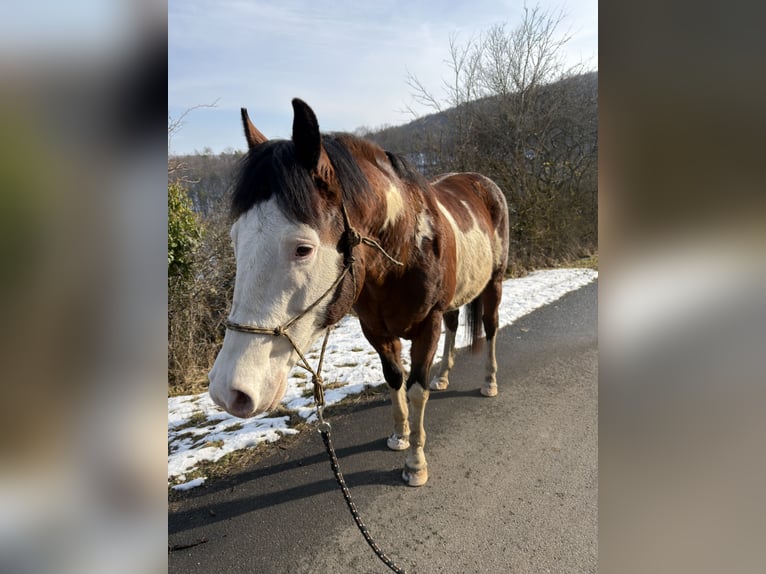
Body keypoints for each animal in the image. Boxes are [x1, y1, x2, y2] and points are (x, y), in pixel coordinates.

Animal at [208, 98, 509, 486]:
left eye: (303, 249)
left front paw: (415, 462)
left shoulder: (427, 324)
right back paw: (443, 376)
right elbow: (394, 379)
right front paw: (400, 435)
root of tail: (481, 181)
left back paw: (489, 381)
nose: (228, 391)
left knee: (490, 327)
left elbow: (416, 388)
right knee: (456, 324)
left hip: (495, 283)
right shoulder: (375, 329)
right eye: (235, 239)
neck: (405, 247)